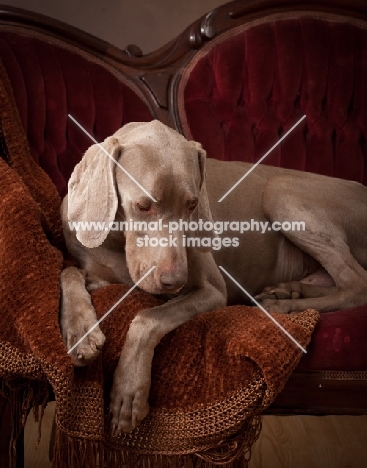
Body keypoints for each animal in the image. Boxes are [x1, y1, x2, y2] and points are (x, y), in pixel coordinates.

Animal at [59, 119, 367, 436]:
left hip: (280, 189)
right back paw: (287, 291)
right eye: (144, 206)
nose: (176, 283)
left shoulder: (213, 290)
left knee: (356, 284)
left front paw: (128, 391)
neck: (119, 242)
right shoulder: (100, 273)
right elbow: (68, 271)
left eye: (192, 205)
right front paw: (80, 331)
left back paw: (284, 305)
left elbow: (148, 318)